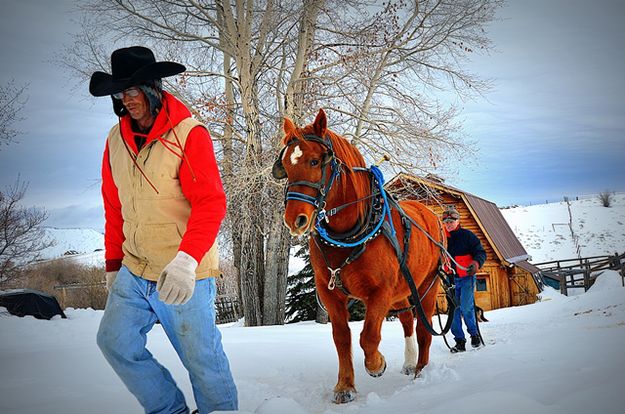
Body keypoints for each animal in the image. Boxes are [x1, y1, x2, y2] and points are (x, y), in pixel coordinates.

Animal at [272, 109, 444, 404]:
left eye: (315, 161)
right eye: (284, 166)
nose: (295, 220)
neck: (347, 235)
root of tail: (429, 213)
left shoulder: (380, 291)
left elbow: (369, 336)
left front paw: (376, 364)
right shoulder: (329, 293)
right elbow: (342, 338)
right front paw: (345, 386)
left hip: (427, 286)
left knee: (424, 328)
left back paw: (421, 371)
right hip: (403, 289)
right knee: (407, 321)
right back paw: (410, 362)